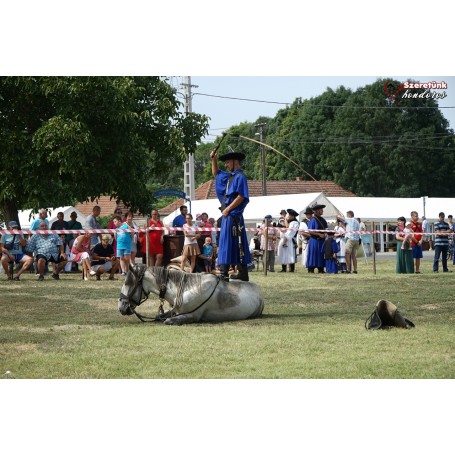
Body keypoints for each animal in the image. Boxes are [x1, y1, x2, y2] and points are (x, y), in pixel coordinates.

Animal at [119, 266, 266, 326]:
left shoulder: (192, 316)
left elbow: (168, 321)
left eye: (128, 283)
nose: (121, 306)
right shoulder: (174, 311)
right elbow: (159, 316)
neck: (186, 288)